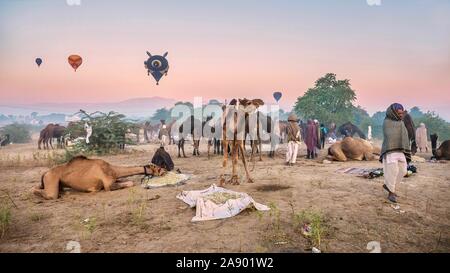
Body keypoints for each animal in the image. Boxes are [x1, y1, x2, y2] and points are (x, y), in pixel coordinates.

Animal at [33, 154, 166, 199]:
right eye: (158, 168)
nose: (165, 171)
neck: (113, 170)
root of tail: (45, 173)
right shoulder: (108, 184)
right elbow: (130, 182)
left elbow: (126, 180)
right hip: (51, 179)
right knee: (48, 194)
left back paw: (65, 192)